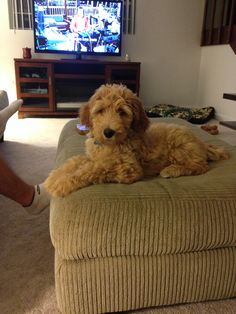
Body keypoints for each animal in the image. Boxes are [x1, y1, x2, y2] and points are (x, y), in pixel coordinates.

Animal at [44, 83, 229, 196]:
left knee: (200, 166)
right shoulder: (93, 156)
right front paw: (55, 177)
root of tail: (202, 143)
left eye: (122, 112)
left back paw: (171, 170)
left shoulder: (129, 168)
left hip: (179, 146)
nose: (109, 132)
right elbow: (75, 161)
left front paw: (62, 183)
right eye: (100, 110)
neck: (112, 143)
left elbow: (93, 169)